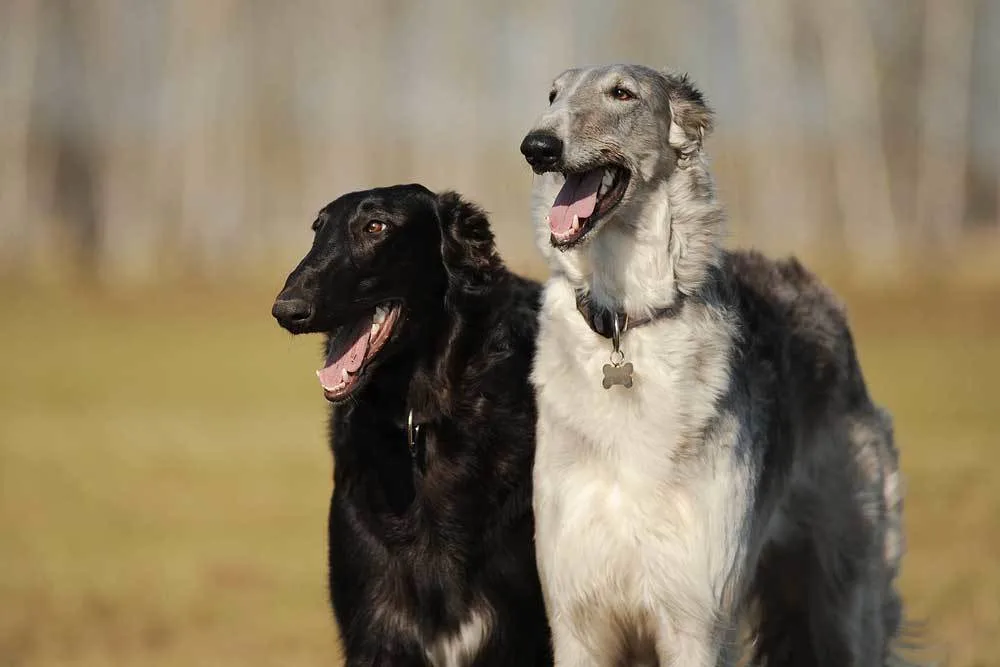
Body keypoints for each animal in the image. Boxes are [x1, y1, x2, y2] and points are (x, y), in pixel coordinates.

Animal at [520, 64, 912, 667]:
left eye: (621, 93)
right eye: (553, 94)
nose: (537, 147)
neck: (627, 322)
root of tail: (817, 289)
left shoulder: (698, 619)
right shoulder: (577, 619)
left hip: (845, 608)